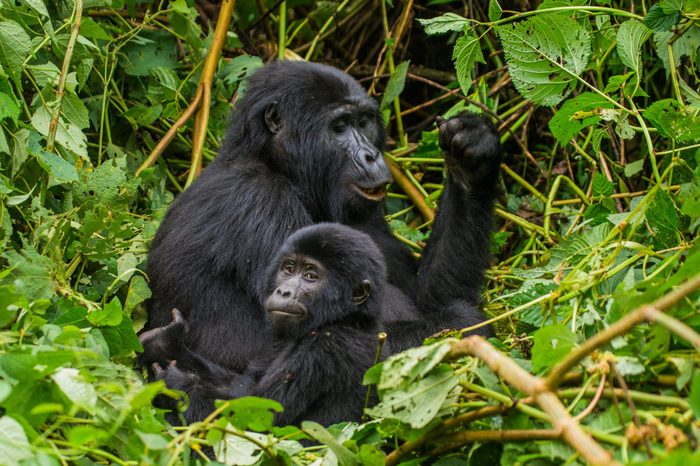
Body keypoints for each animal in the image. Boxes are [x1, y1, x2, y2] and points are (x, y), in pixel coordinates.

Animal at [139, 223, 386, 426]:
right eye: (288, 269)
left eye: (311, 276)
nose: (283, 291)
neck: (349, 319)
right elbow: (245, 387)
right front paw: (166, 344)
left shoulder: (325, 346)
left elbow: (257, 419)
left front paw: (174, 385)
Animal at [145, 60, 500, 372]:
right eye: (340, 127)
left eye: (364, 123)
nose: (372, 156)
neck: (275, 165)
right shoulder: (258, 200)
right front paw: (462, 322)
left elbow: (427, 295)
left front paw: (472, 156)